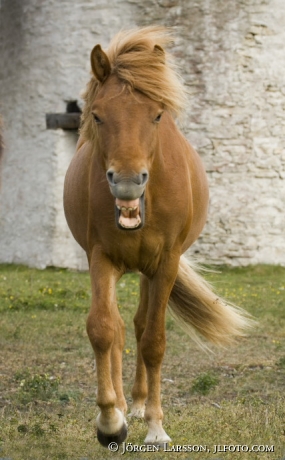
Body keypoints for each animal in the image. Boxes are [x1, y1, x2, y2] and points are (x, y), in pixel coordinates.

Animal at [63, 27, 250, 448]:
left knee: (137, 325)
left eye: (157, 115)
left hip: (149, 273)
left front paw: (155, 426)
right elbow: (102, 329)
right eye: (97, 115)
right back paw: (122, 406)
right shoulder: (100, 258)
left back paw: (137, 404)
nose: (128, 182)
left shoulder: (165, 263)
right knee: (118, 328)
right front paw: (110, 422)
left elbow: (154, 341)